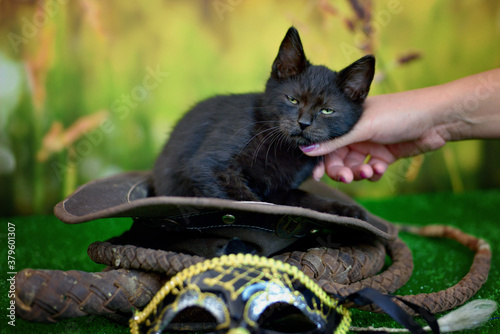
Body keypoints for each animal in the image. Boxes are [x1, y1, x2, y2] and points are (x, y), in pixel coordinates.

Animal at [153, 26, 376, 219]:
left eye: (327, 110)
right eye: (292, 99)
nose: (303, 123)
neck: (285, 149)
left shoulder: (281, 191)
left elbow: (306, 199)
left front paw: (345, 209)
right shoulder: (209, 167)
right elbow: (251, 203)